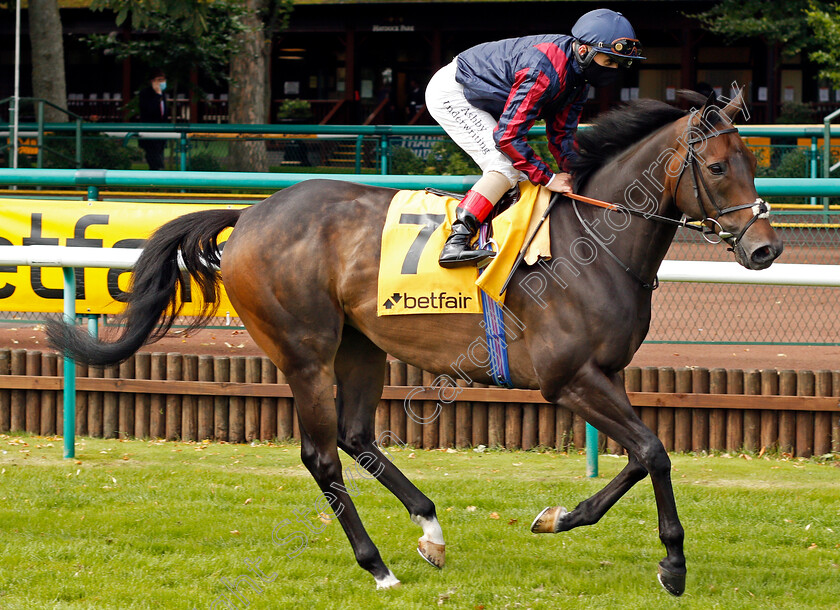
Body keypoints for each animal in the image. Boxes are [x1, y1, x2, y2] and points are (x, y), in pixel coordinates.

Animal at [47, 91, 780, 592]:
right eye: (719, 167)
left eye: (753, 162)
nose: (766, 248)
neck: (593, 244)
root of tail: (252, 214)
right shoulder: (566, 379)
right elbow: (654, 452)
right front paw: (674, 562)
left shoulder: (607, 374)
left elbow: (636, 456)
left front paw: (557, 518)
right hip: (305, 353)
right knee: (322, 455)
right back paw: (377, 566)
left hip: (362, 346)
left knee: (356, 435)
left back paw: (430, 529)